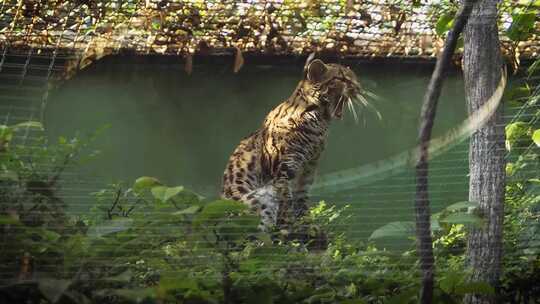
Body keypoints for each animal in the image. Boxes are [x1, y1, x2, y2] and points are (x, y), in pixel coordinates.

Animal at [219, 56, 368, 230]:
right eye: (342, 78)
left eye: (354, 78)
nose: (359, 88)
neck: (319, 123)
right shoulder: (283, 170)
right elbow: (286, 201)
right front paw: (289, 224)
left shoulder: (309, 169)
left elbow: (301, 198)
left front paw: (307, 223)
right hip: (260, 199)